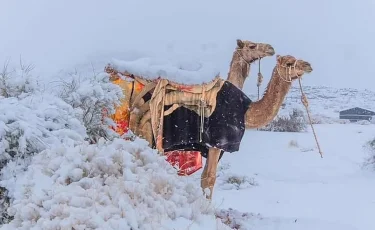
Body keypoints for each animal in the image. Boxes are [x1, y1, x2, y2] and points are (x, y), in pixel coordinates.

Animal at [104, 39, 312, 199]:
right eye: (289, 63)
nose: (308, 65)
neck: (246, 111)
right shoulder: (216, 142)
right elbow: (208, 180)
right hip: (144, 131)